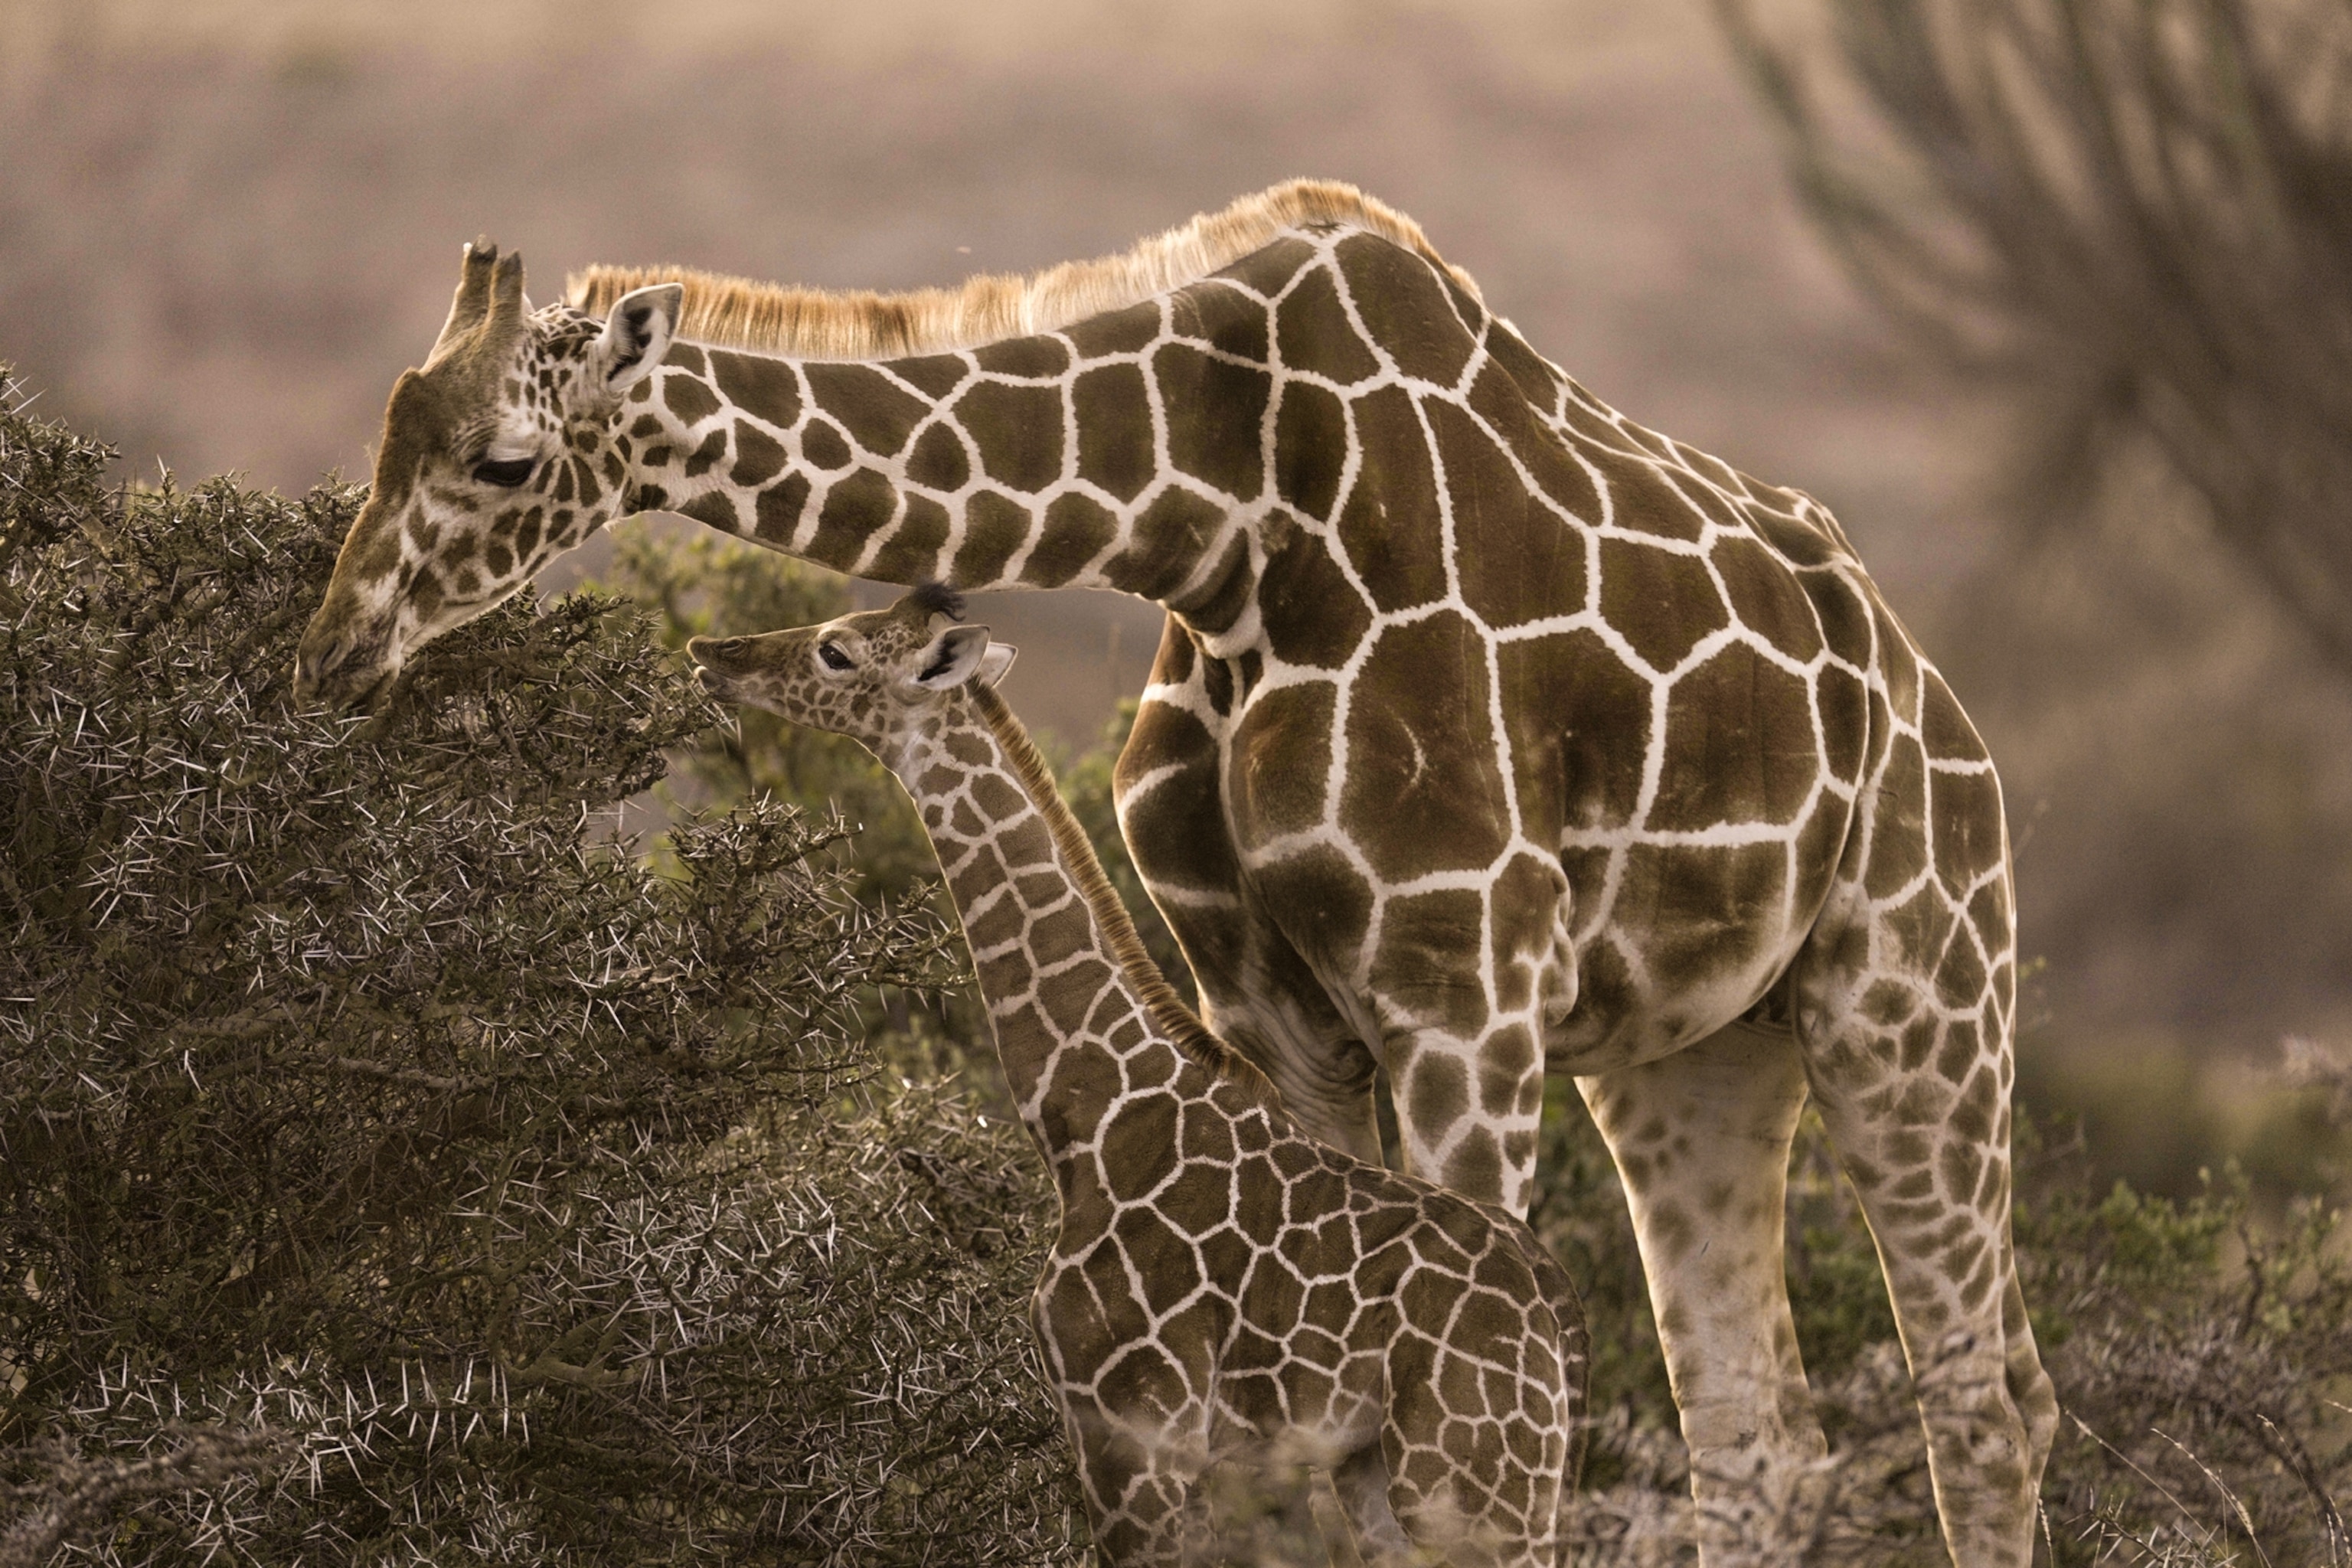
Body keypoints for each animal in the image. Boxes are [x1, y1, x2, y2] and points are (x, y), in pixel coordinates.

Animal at [688, 586, 1588, 1565]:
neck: (1088, 1114)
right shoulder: (1207, 1454)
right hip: (1401, 1474)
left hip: (1467, 1478)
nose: (715, 652)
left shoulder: (1130, 1426)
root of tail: (1557, 1309)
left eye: (835, 651)